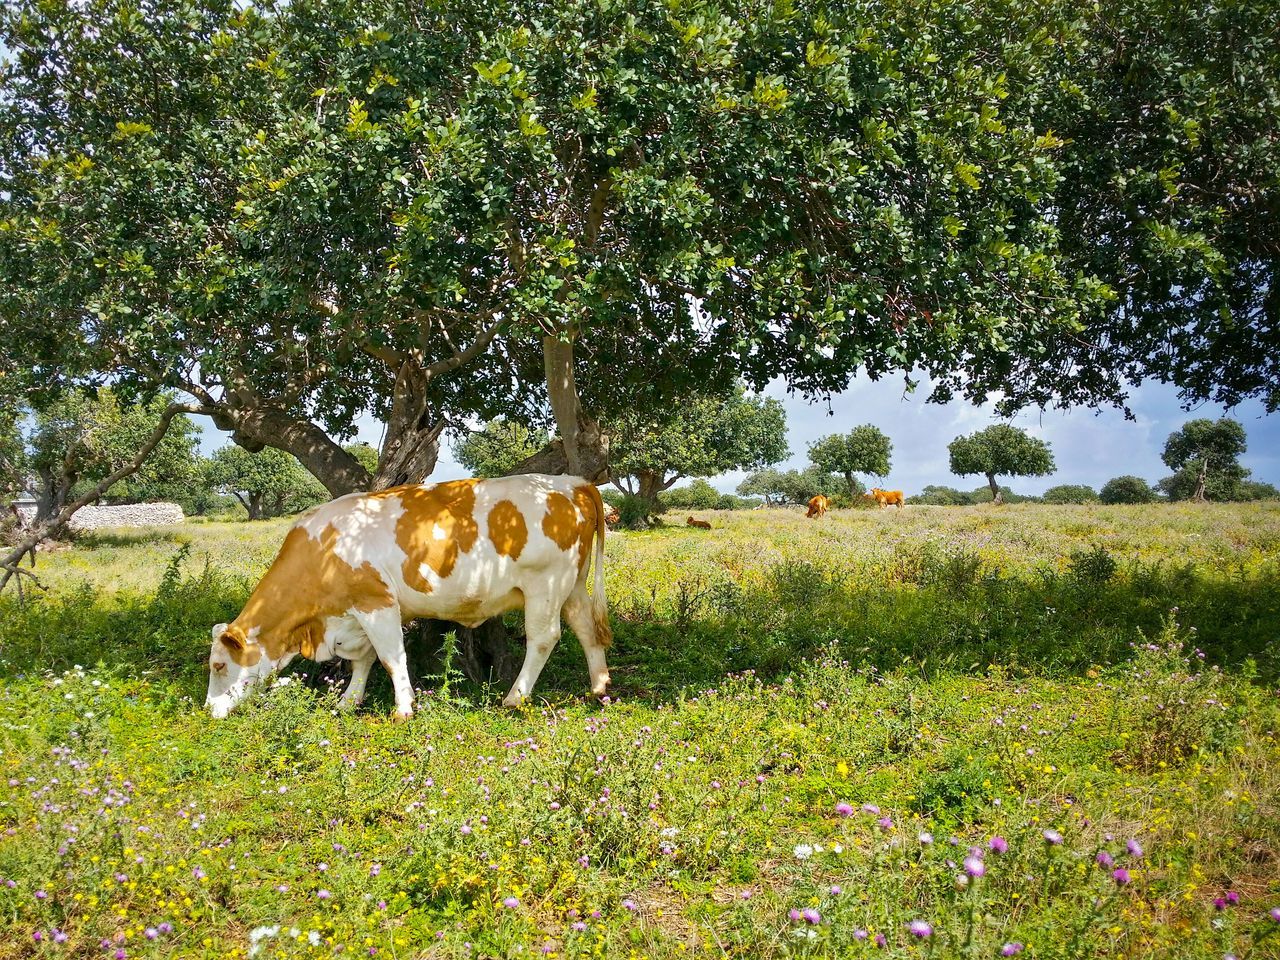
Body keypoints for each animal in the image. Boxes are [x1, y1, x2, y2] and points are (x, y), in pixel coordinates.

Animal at [203, 478, 609, 716]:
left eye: (219, 665)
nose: (208, 710)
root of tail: (573, 482)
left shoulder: (376, 603)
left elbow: (391, 657)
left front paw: (402, 709)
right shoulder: (354, 614)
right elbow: (364, 659)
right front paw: (350, 700)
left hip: (545, 584)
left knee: (543, 638)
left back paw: (515, 697)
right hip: (572, 585)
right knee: (586, 628)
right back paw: (599, 687)